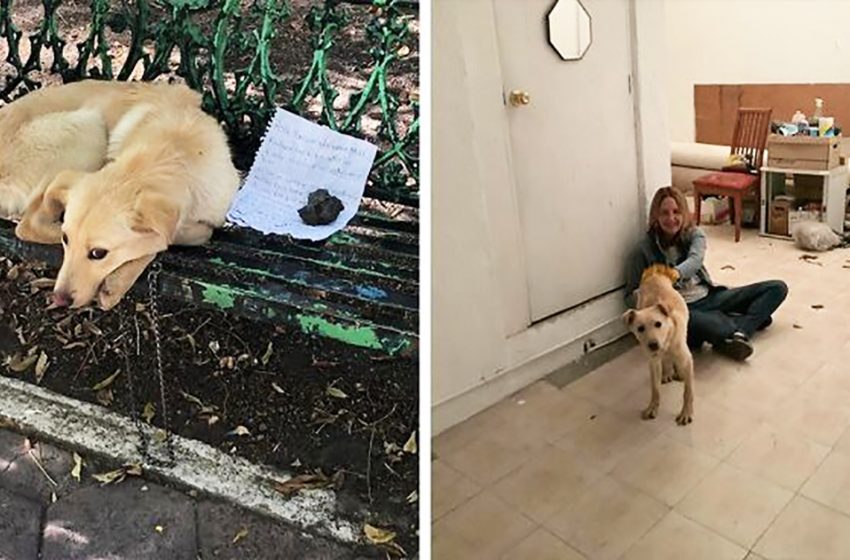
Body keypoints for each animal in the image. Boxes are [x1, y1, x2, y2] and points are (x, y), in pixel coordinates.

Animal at [620, 262, 692, 424]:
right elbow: (655, 389)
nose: (653, 345)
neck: (666, 342)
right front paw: (652, 407)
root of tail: (655, 274)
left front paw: (686, 412)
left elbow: (688, 392)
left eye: (658, 324)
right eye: (640, 328)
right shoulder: (653, 363)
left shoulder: (687, 360)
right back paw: (667, 372)